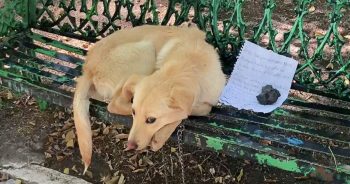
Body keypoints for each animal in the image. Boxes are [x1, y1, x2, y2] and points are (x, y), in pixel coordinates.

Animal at [72, 25, 206, 173]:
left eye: (151, 120)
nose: (130, 145)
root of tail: (88, 69)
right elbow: (183, 114)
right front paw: (160, 136)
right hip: (146, 51)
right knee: (114, 104)